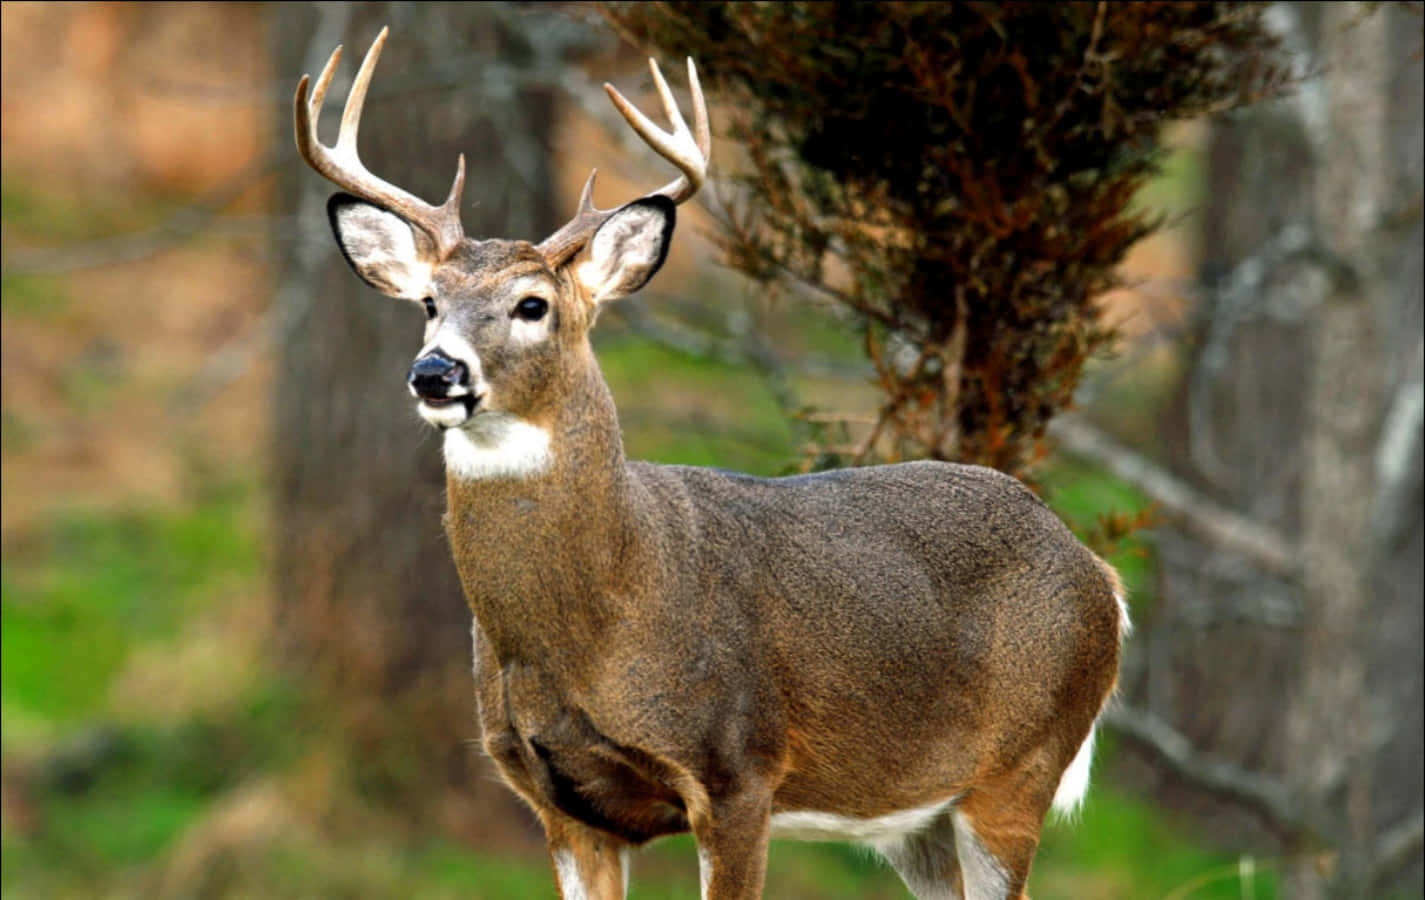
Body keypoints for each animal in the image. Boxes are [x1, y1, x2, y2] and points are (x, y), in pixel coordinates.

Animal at [294, 27, 1128, 900]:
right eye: (428, 302)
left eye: (533, 305)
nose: (435, 373)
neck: (601, 612)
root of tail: (1096, 571)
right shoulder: (557, 802)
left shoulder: (737, 770)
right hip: (915, 815)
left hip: (1019, 766)